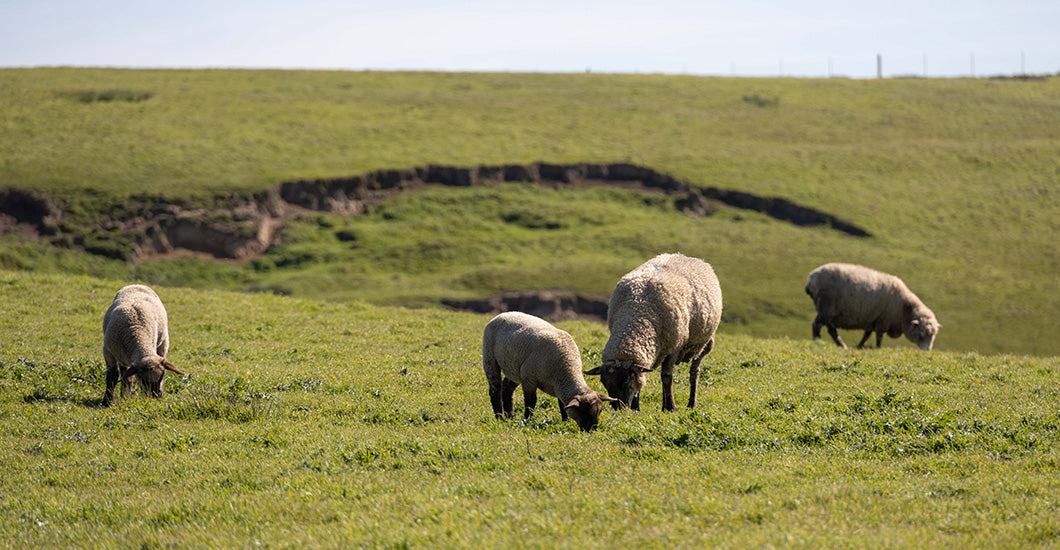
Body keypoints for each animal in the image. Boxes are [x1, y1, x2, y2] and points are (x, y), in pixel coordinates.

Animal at [481, 311, 614, 432]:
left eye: (600, 411)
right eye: (585, 413)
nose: (592, 430)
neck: (566, 367)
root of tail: (501, 314)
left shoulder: (558, 385)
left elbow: (562, 405)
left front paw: (565, 422)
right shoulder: (529, 378)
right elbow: (531, 402)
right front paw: (528, 421)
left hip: (514, 369)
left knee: (507, 389)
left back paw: (510, 416)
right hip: (490, 358)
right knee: (495, 390)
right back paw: (500, 417)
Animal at [585, 252, 725, 411]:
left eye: (626, 381)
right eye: (604, 383)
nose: (618, 408)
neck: (636, 311)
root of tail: (688, 256)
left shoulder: (674, 347)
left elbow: (666, 377)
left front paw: (671, 407)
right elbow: (645, 378)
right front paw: (636, 408)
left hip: (701, 345)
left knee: (694, 372)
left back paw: (691, 403)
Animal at [801, 261, 945, 349]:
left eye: (933, 336)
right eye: (921, 334)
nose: (927, 351)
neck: (904, 309)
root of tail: (811, 279)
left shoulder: (871, 319)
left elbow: (867, 334)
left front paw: (860, 346)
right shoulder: (883, 320)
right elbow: (879, 336)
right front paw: (878, 348)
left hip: (830, 312)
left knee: (831, 330)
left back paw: (842, 345)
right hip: (826, 308)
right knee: (817, 325)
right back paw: (817, 340)